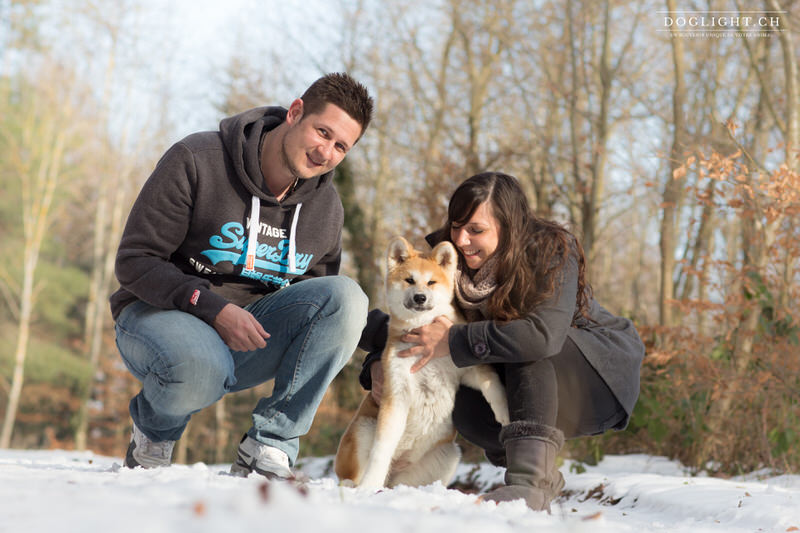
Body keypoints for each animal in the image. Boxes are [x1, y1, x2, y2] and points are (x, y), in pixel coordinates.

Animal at [334, 237, 510, 490]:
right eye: (409, 280)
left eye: (431, 282)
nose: (420, 297)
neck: (423, 334)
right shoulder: (396, 392)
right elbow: (381, 449)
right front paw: (368, 485)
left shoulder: (468, 370)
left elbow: (492, 385)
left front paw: (506, 414)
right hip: (364, 429)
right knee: (352, 474)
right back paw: (359, 486)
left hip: (448, 455)